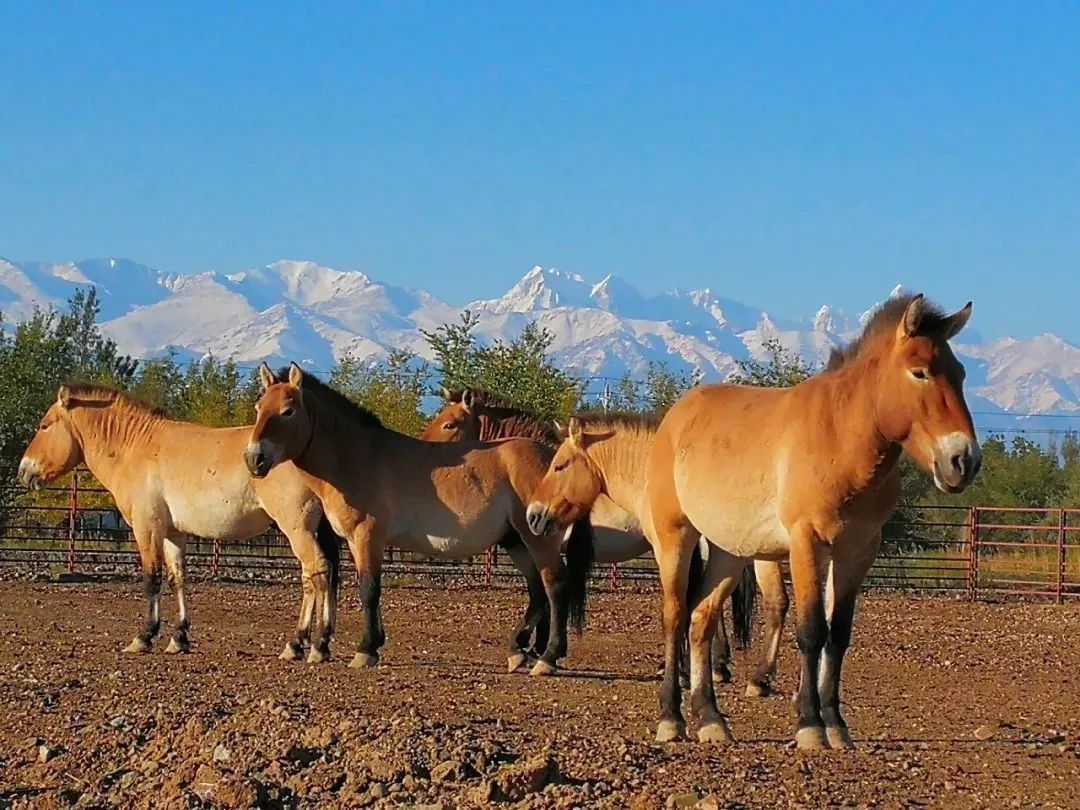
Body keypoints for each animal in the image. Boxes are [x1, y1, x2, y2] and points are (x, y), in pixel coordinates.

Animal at [19, 384, 343, 660]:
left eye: (44, 425)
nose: (24, 472)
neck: (137, 448)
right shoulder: (173, 534)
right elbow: (177, 579)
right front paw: (179, 638)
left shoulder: (147, 528)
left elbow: (152, 579)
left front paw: (144, 637)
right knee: (317, 575)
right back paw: (310, 643)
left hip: (296, 528)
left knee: (317, 571)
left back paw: (309, 644)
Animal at [245, 365, 596, 673]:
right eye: (259, 407)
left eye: (288, 411)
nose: (254, 458)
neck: (357, 457)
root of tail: (554, 460)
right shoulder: (355, 541)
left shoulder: (368, 535)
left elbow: (369, 590)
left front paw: (365, 650)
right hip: (516, 541)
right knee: (537, 590)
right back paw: (518, 650)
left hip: (537, 538)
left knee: (555, 586)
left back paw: (547, 657)